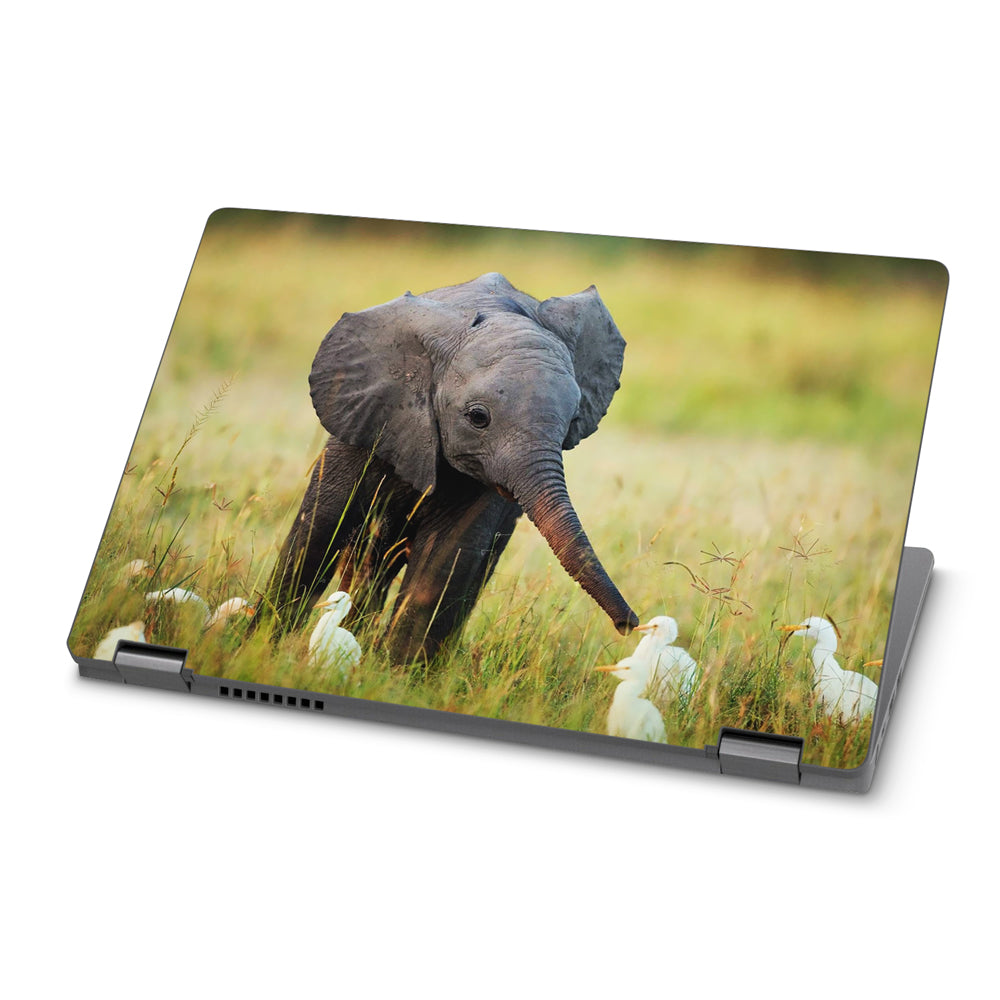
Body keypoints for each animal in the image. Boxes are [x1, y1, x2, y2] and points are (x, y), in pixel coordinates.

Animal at [266, 271, 638, 662]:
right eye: (478, 418)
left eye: (572, 422)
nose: (629, 624)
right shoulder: (366, 416)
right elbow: (320, 528)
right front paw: (258, 645)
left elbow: (445, 558)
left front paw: (396, 672)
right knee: (368, 560)